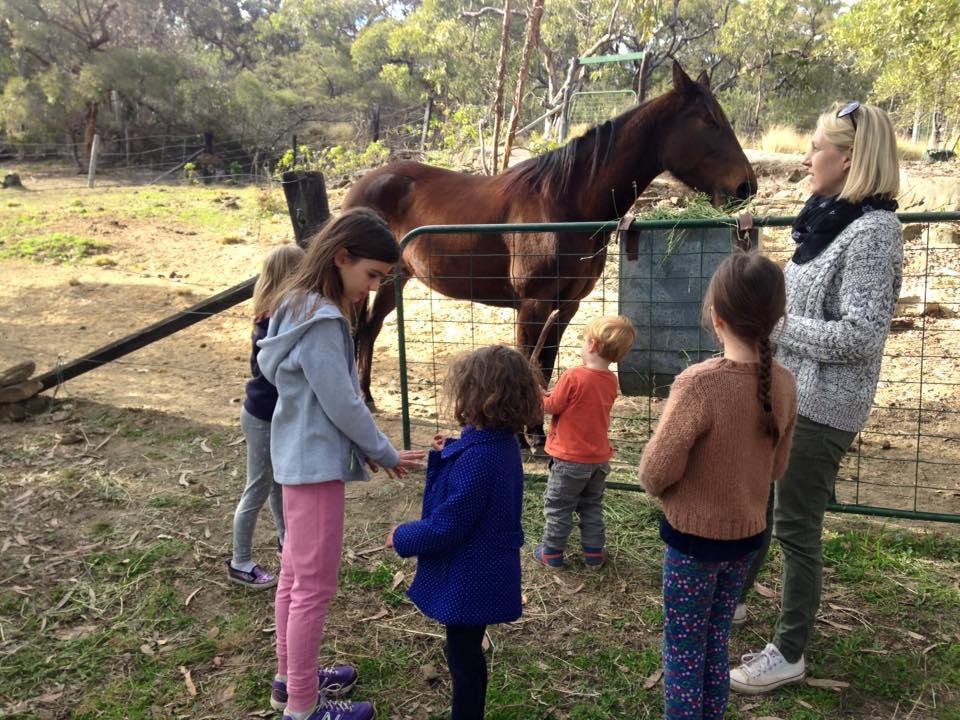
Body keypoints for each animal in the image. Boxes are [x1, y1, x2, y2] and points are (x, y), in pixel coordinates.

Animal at [344, 62, 756, 444]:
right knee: (358, 329)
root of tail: (365, 182)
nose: (746, 186)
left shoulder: (566, 305)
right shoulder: (533, 304)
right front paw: (525, 434)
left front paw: (539, 435)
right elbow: (528, 365)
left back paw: (367, 396)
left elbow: (544, 366)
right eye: (709, 119)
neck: (564, 203)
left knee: (371, 328)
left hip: (396, 277)